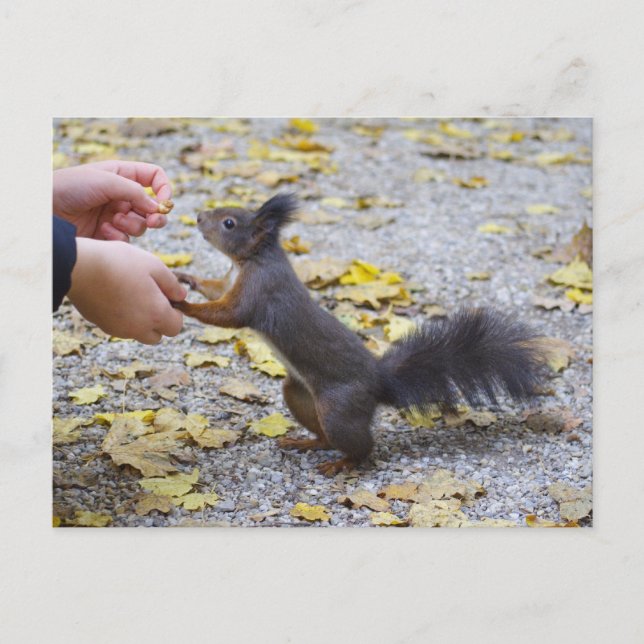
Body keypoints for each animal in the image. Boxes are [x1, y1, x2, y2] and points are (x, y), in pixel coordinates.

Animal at [173, 194, 547, 475]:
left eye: (229, 223)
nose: (199, 217)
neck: (251, 259)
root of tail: (380, 383)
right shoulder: (228, 282)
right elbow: (212, 288)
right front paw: (185, 278)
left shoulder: (258, 291)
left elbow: (228, 314)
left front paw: (181, 303)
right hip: (300, 395)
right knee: (323, 433)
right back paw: (306, 442)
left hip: (339, 409)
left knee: (363, 447)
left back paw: (343, 463)